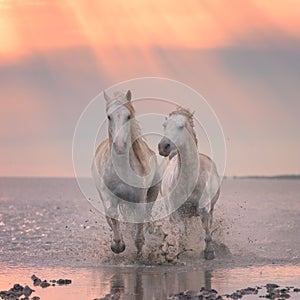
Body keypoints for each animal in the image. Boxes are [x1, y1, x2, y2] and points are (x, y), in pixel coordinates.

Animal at [91, 89, 161, 258]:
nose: (120, 145)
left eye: (128, 116)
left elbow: (140, 222)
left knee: (147, 215)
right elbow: (113, 215)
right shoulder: (109, 196)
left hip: (153, 192)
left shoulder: (140, 199)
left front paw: (139, 251)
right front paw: (117, 245)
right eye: (109, 116)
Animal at [157, 108, 220, 260]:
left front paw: (209, 252)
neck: (189, 180)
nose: (163, 147)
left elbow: (206, 227)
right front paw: (181, 250)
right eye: (164, 125)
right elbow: (181, 231)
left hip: (212, 206)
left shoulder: (204, 207)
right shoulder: (177, 211)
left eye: (181, 126)